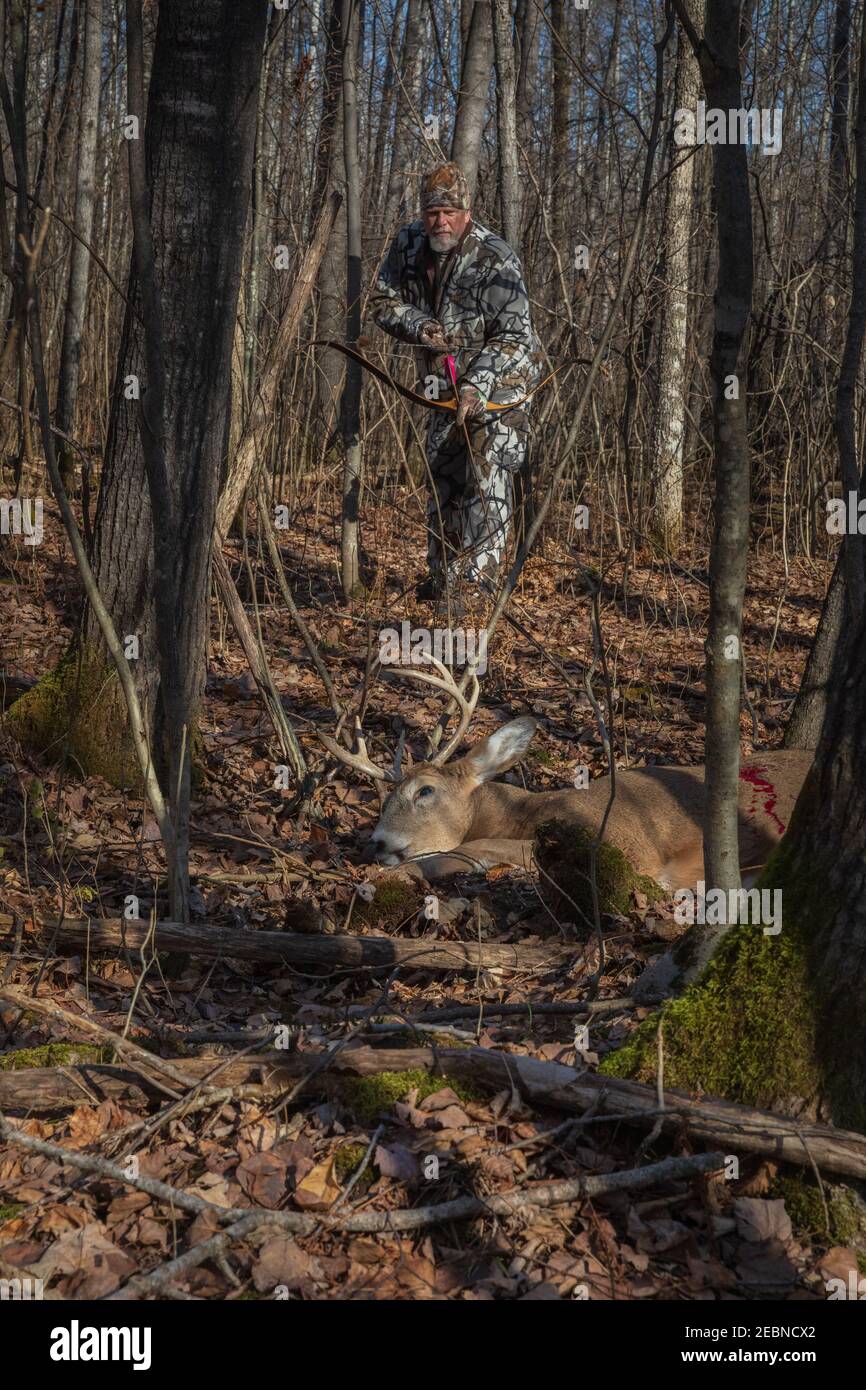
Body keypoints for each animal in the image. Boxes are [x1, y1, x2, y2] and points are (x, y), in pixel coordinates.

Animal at [318, 658, 811, 889]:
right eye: (384, 798)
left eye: (425, 791)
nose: (376, 842)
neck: (519, 813)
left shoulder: (620, 844)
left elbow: (468, 849)